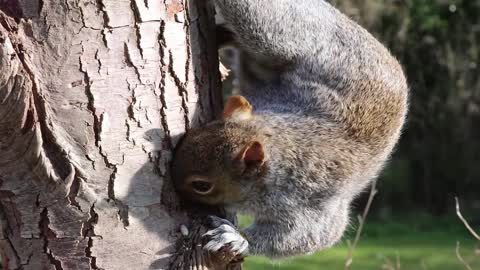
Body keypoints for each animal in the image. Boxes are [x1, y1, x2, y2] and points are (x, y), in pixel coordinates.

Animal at [171, 0, 406, 260]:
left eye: (202, 185)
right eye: (198, 131)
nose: (171, 183)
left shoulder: (309, 203)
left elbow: (307, 236)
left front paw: (237, 238)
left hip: (280, 35)